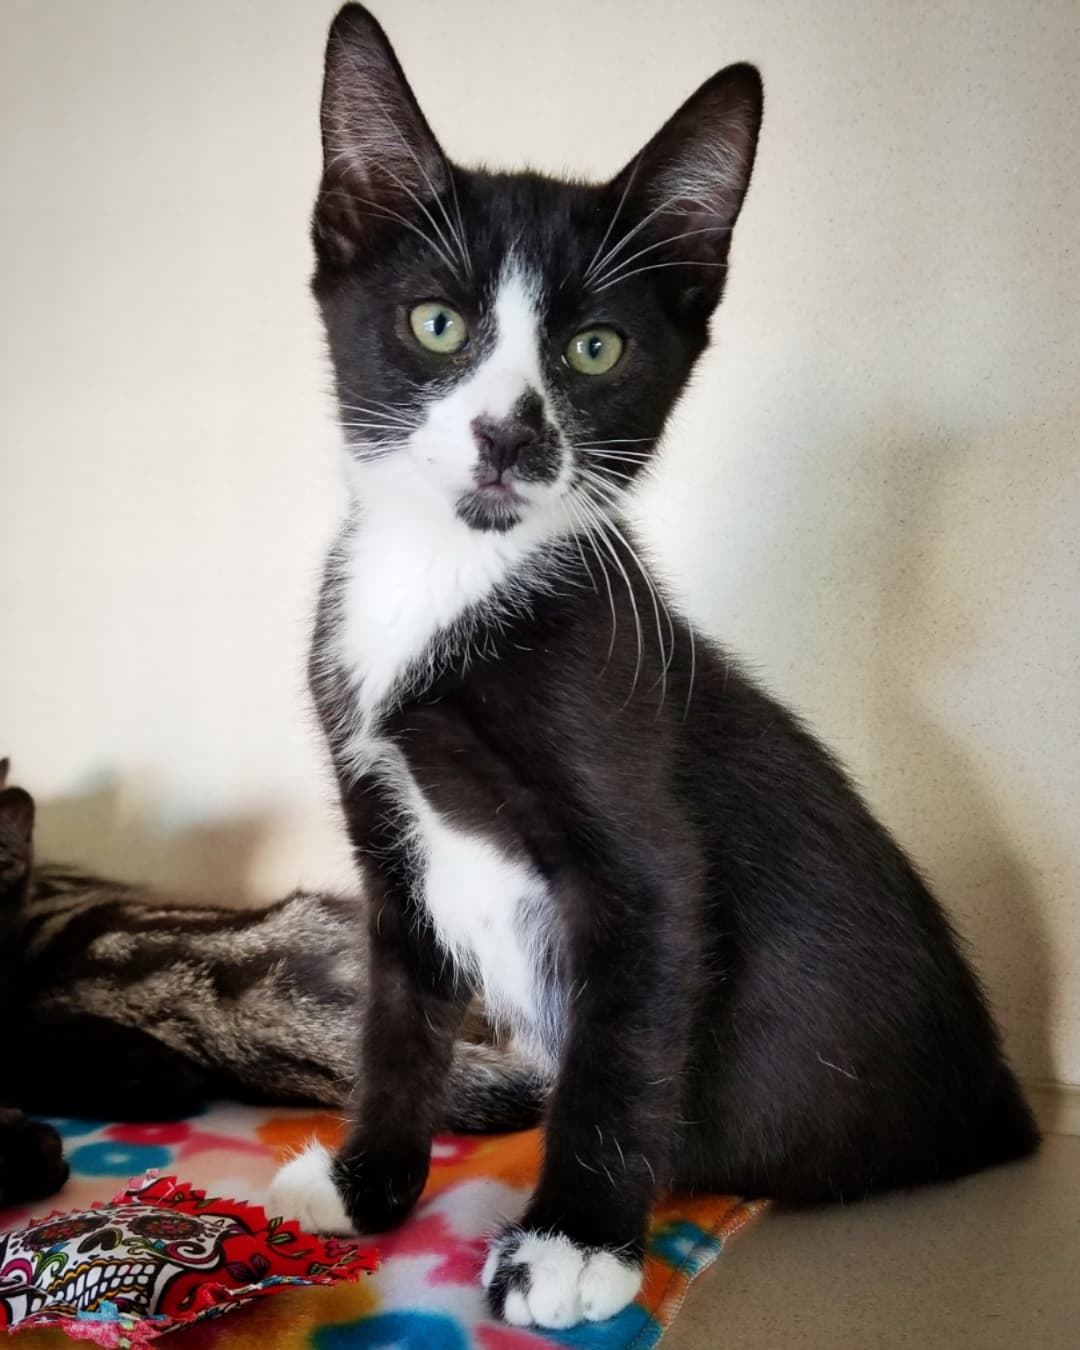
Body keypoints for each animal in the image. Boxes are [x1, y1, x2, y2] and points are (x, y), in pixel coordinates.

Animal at [270, 5, 1036, 1333]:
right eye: (437, 323)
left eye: (593, 348)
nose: (510, 434)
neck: (449, 581)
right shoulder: (382, 827)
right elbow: (398, 1022)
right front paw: (370, 1184)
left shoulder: (641, 843)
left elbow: (624, 1040)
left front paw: (576, 1240)